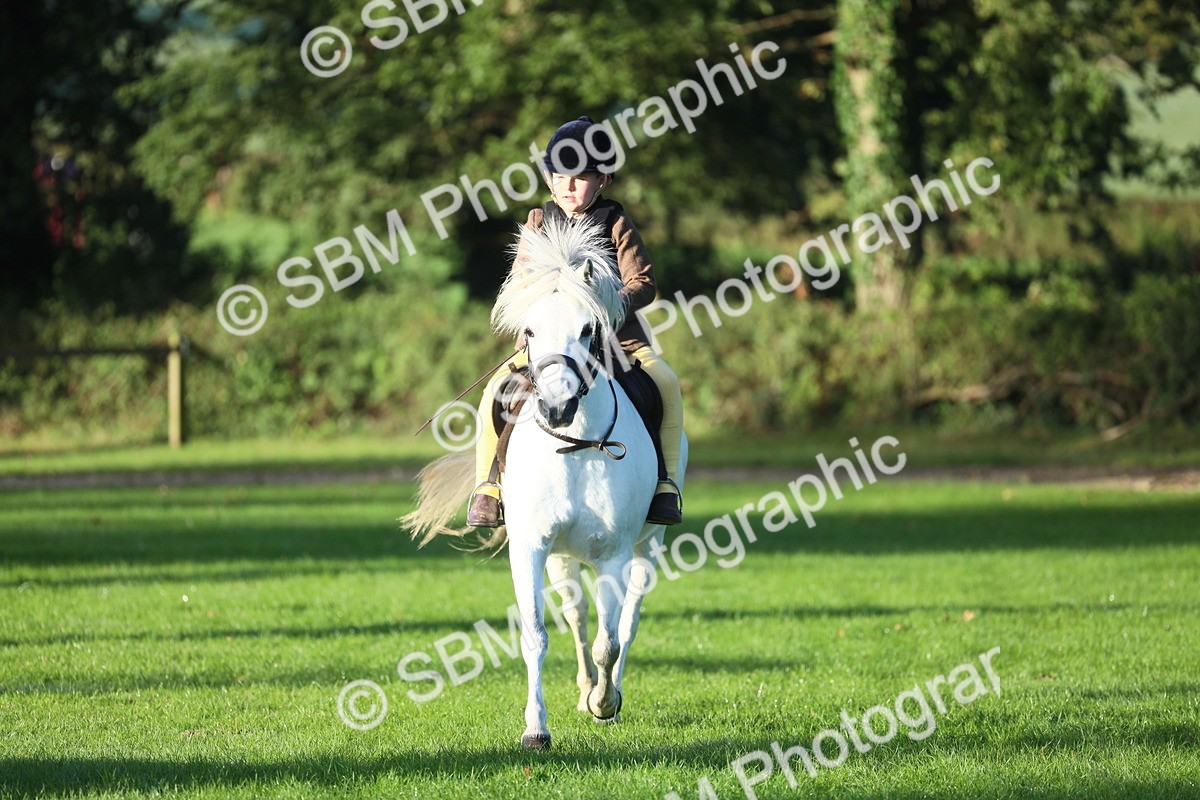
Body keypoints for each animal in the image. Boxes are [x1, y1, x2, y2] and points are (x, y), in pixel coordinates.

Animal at [402, 216, 688, 750]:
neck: (572, 447)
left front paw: (604, 704)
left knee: (628, 620)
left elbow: (610, 640)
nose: (557, 407)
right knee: (577, 617)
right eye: (530, 330)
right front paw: (537, 728)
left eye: (588, 328)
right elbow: (537, 635)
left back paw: (608, 695)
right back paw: (583, 691)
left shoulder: (614, 553)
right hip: (561, 557)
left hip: (647, 545)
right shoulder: (532, 547)